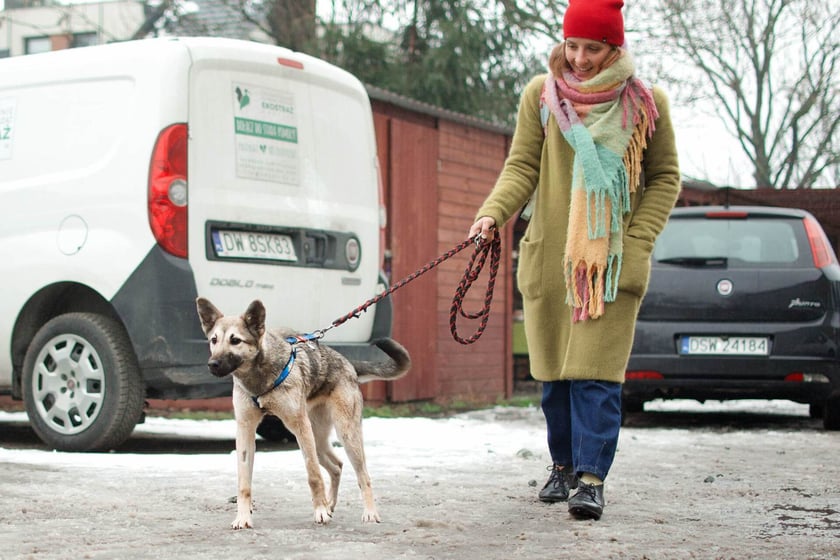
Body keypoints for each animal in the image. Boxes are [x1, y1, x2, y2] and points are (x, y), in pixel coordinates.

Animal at [194, 298, 410, 528]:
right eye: (214, 340)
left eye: (235, 340)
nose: (212, 364)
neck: (259, 379)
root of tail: (349, 364)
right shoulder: (245, 430)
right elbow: (244, 483)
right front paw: (243, 517)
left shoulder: (300, 427)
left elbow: (314, 475)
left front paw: (320, 512)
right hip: (317, 439)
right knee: (336, 466)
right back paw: (330, 504)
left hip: (343, 435)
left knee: (363, 475)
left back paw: (368, 512)